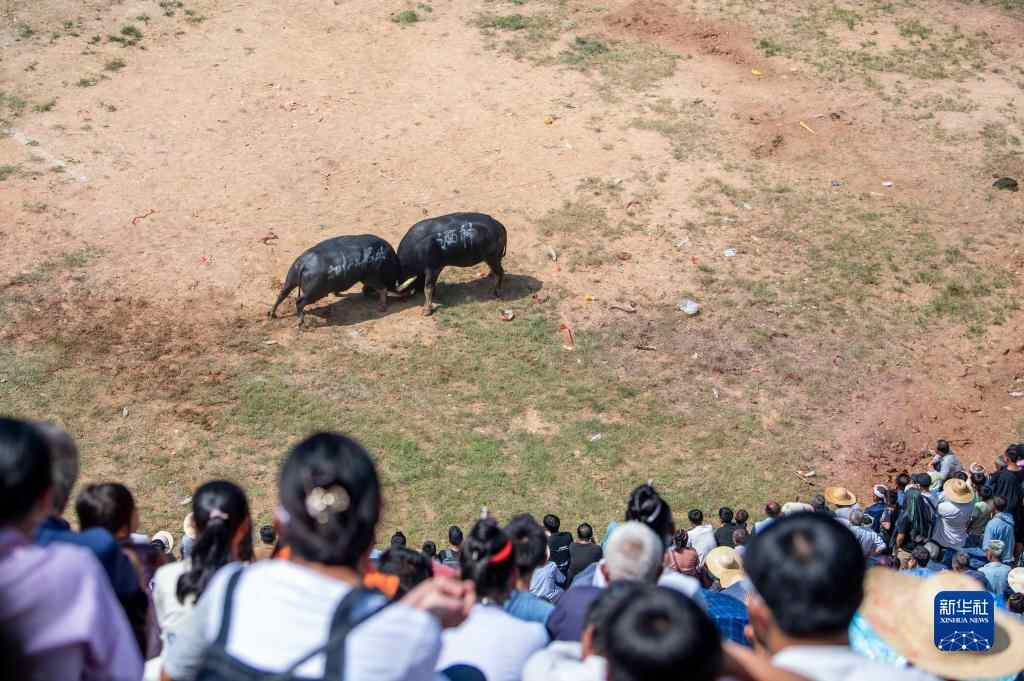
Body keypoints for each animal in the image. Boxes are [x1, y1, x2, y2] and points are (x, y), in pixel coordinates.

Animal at [269, 234, 401, 327]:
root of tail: (304, 264)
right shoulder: (371, 277)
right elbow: (383, 289)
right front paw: (382, 307)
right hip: (314, 293)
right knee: (299, 302)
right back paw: (300, 322)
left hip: (290, 281)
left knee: (281, 295)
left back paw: (272, 314)